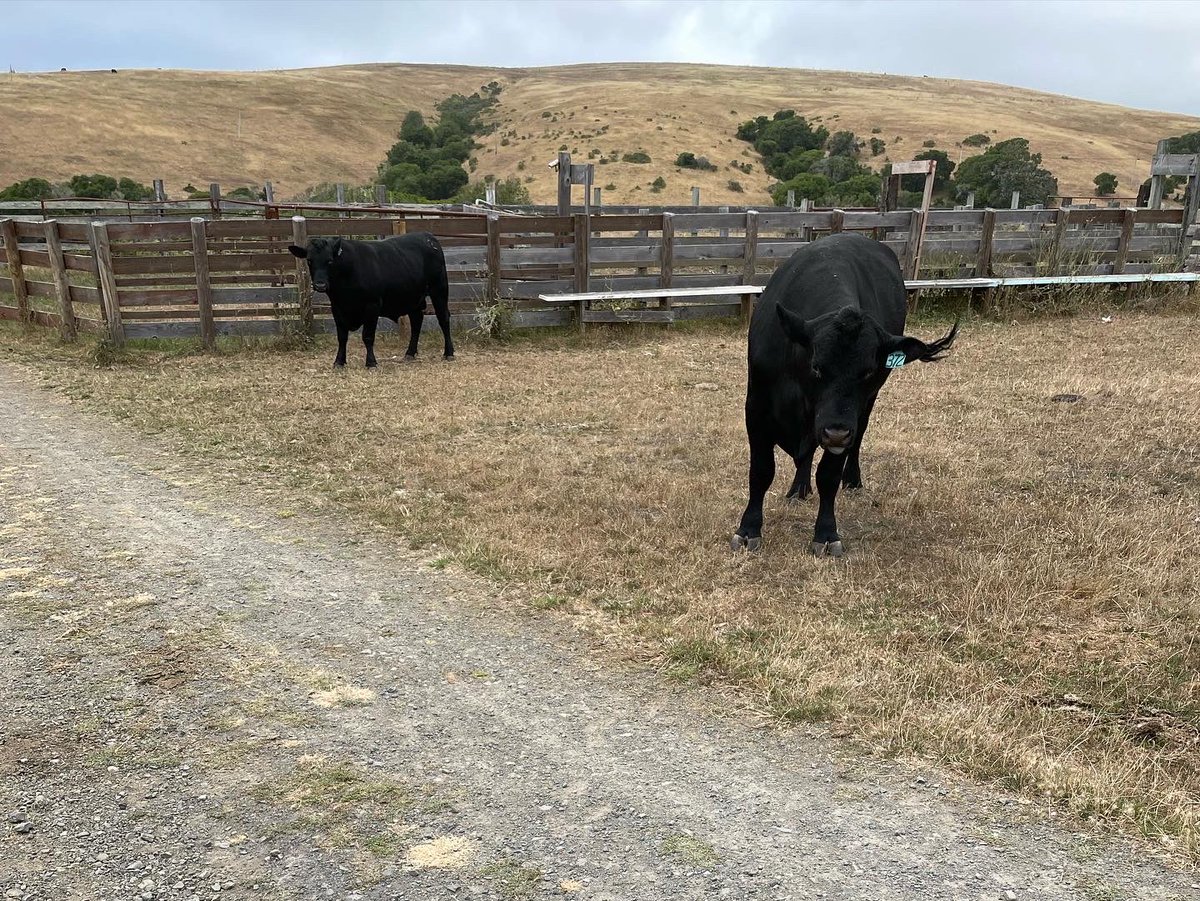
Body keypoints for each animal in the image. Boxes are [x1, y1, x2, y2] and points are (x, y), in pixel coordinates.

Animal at [288, 232, 455, 368]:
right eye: (309, 261)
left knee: (443, 319)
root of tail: (429, 237)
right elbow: (342, 337)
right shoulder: (337, 308)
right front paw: (339, 361)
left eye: (329, 261)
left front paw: (371, 362)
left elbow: (367, 336)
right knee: (416, 322)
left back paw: (449, 353)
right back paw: (409, 353)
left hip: (439, 290)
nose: (320, 284)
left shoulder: (372, 306)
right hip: (413, 298)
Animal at [730, 232, 958, 557]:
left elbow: (828, 476)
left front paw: (826, 534)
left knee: (856, 440)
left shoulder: (845, 421)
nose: (836, 433)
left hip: (864, 409)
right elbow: (761, 471)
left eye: (868, 371)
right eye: (816, 367)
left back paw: (852, 479)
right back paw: (798, 489)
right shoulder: (757, 409)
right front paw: (748, 530)